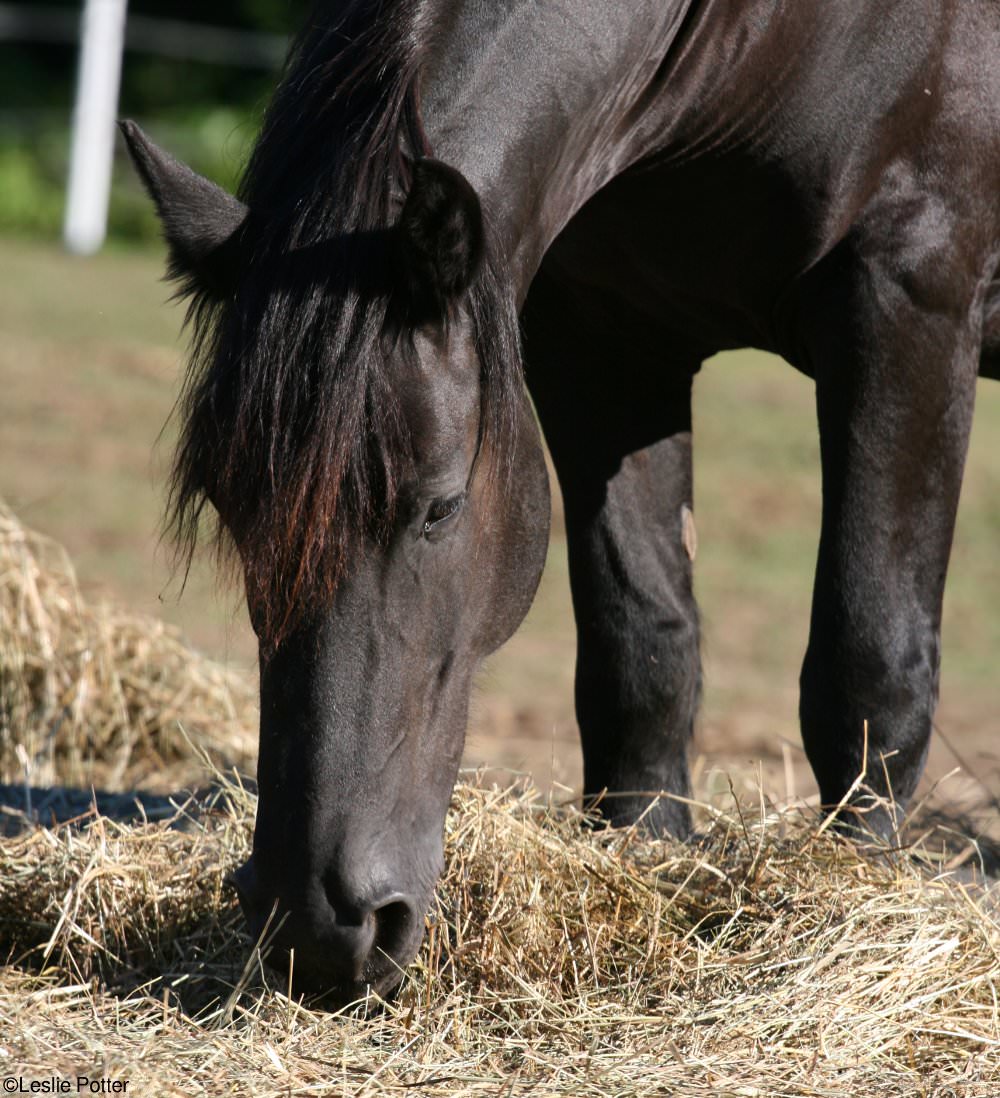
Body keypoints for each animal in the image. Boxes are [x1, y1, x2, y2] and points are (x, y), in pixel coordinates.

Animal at [125, 0, 1000, 1001]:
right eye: (230, 510)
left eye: (439, 507)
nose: (311, 926)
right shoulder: (605, 336)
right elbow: (642, 643)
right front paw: (643, 857)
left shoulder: (906, 299)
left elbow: (869, 666)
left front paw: (857, 885)